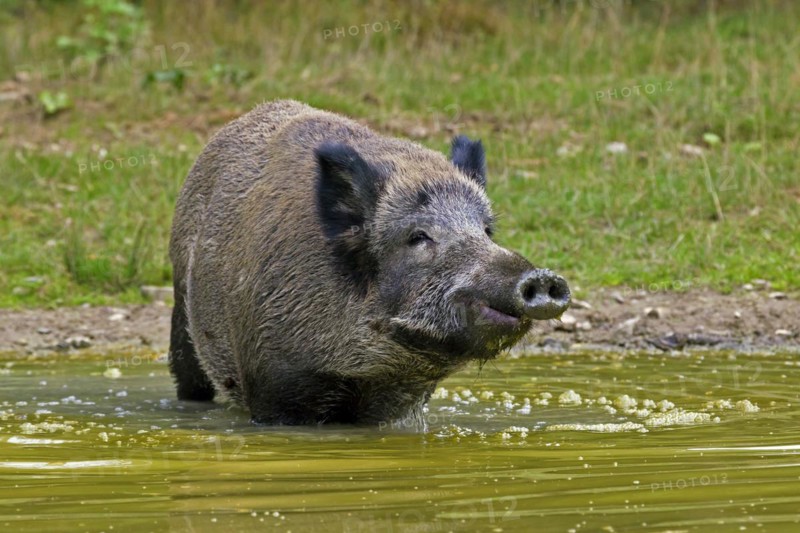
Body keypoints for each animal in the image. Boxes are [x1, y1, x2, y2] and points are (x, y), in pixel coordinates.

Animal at [169, 99, 570, 426]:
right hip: (181, 310)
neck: (368, 370)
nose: (543, 277)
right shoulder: (274, 386)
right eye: (418, 236)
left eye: (486, 230)